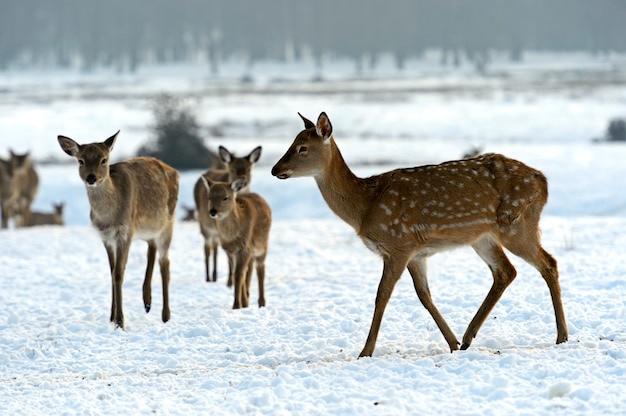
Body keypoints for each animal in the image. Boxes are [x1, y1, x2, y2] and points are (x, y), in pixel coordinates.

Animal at [57, 132, 178, 330]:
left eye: (104, 160)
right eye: (81, 160)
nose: (91, 178)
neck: (109, 218)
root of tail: (173, 170)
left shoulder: (125, 232)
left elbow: (119, 273)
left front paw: (120, 322)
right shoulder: (106, 238)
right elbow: (112, 272)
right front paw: (112, 318)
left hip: (168, 224)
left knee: (165, 263)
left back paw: (165, 315)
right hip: (148, 228)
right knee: (151, 249)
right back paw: (147, 301)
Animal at [195, 145, 264, 284]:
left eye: (248, 169)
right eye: (232, 169)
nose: (243, 182)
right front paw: (230, 281)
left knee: (215, 249)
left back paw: (215, 275)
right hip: (204, 226)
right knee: (208, 249)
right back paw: (209, 277)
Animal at [199, 176, 270, 308]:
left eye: (225, 197)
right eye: (209, 197)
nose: (213, 211)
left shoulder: (245, 247)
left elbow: (238, 275)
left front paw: (237, 305)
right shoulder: (230, 251)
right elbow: (236, 273)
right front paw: (242, 303)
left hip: (262, 245)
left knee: (260, 269)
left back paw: (261, 302)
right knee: (249, 269)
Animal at [270, 111, 564, 358]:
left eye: (302, 148)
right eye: (292, 142)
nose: (275, 169)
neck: (365, 206)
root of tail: (544, 181)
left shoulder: (398, 244)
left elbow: (381, 295)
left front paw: (365, 352)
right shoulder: (416, 252)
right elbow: (424, 296)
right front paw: (452, 343)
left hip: (516, 223)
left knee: (548, 263)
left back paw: (562, 336)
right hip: (484, 237)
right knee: (506, 271)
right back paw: (468, 338)